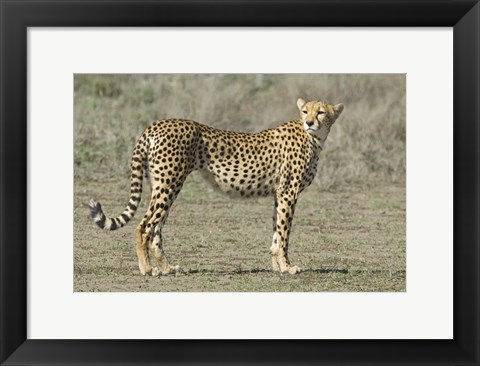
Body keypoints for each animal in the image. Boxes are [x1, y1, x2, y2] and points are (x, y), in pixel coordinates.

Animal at [90, 98, 344, 276]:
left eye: (320, 112)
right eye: (305, 111)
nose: (309, 122)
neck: (314, 138)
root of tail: (155, 125)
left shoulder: (279, 194)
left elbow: (276, 231)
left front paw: (277, 266)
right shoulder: (289, 193)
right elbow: (284, 234)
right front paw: (288, 267)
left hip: (162, 185)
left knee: (156, 230)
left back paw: (168, 268)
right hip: (169, 183)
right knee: (143, 227)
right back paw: (148, 269)